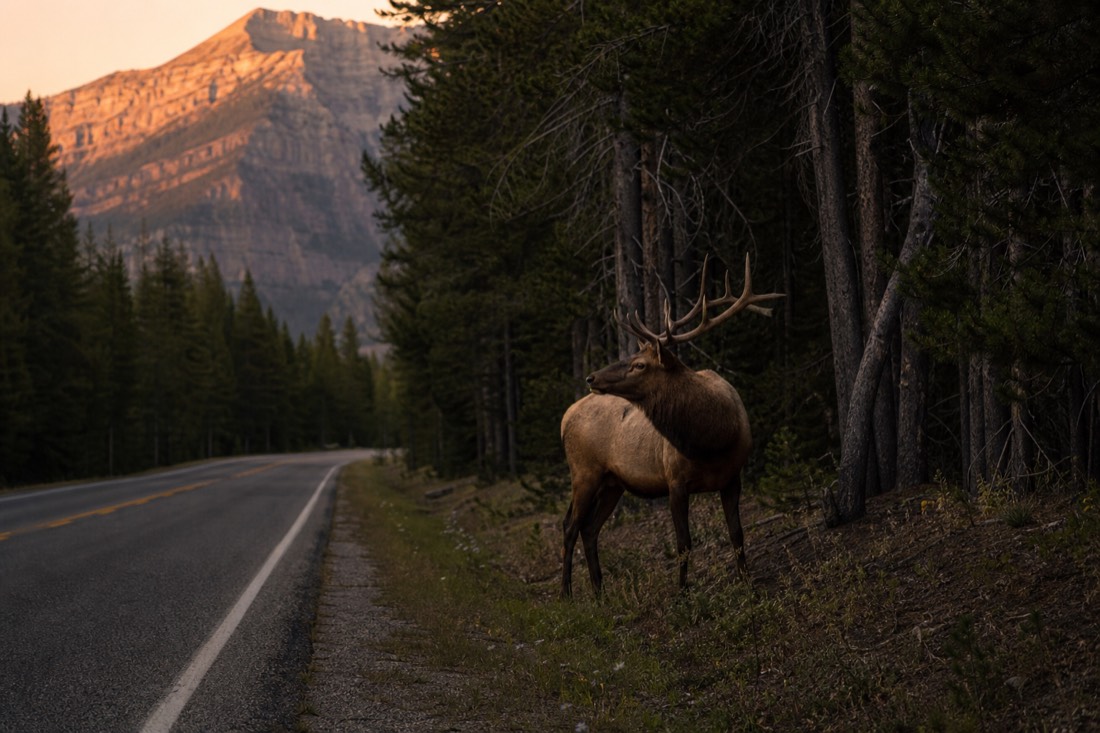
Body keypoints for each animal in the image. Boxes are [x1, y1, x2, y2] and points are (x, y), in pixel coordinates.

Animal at [560, 254, 784, 597]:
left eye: (639, 364)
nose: (591, 377)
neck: (713, 439)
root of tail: (564, 417)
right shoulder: (675, 481)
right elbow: (684, 543)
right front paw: (682, 593)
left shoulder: (733, 477)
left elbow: (737, 534)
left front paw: (748, 585)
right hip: (584, 471)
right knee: (569, 526)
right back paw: (566, 594)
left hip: (612, 482)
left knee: (589, 528)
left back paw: (599, 593)